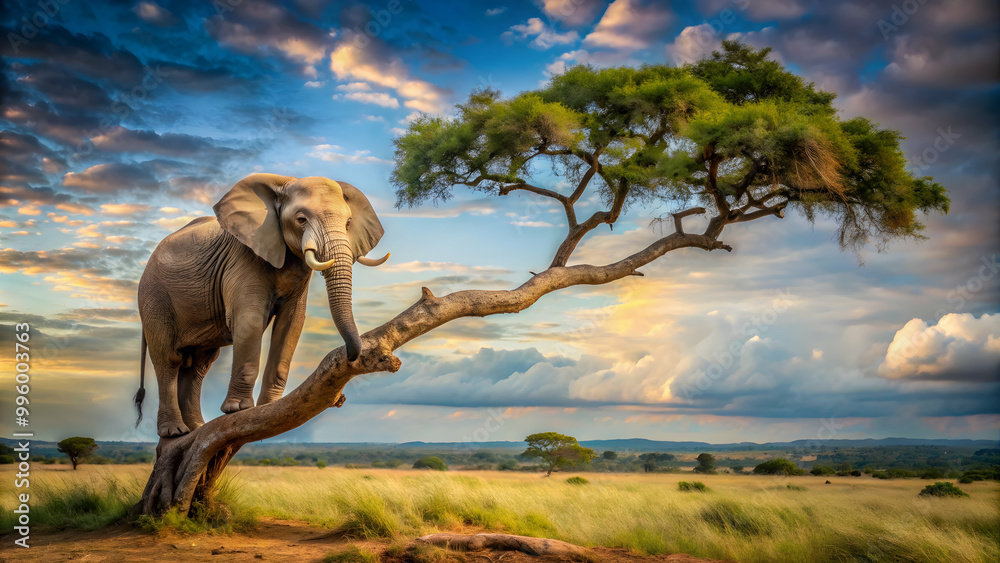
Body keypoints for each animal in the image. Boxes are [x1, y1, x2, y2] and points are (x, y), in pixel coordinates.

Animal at [134, 173, 389, 437]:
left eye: (348, 223)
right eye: (301, 219)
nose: (350, 354)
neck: (284, 183)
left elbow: (291, 323)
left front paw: (271, 406)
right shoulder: (243, 257)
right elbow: (250, 320)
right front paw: (238, 409)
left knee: (200, 365)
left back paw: (196, 428)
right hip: (154, 297)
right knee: (169, 358)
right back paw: (175, 432)